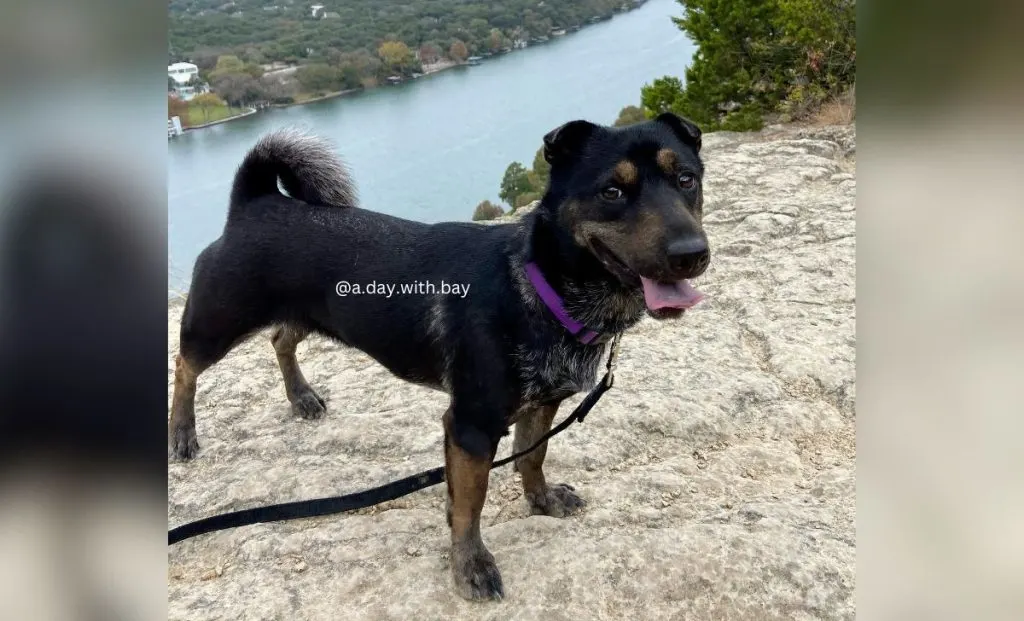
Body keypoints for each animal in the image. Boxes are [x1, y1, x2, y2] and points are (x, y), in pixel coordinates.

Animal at [169, 113, 712, 602]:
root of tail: (255, 202)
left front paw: (540, 500)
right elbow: (470, 505)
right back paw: (182, 433)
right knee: (186, 366)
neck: (539, 283)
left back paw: (301, 396)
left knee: (281, 339)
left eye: (686, 179)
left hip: (307, 312)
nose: (691, 253)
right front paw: (470, 565)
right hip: (217, 323)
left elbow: (532, 456)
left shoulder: (543, 404)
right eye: (612, 192)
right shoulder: (470, 427)